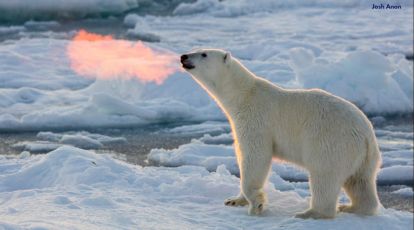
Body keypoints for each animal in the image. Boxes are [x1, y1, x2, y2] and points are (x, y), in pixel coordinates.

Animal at [180, 49, 382, 219]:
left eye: (203, 54)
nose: (183, 56)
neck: (244, 95)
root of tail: (366, 134)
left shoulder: (256, 119)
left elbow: (255, 156)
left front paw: (257, 205)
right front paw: (234, 200)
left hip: (331, 142)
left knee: (324, 176)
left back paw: (310, 213)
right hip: (364, 157)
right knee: (360, 182)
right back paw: (352, 207)